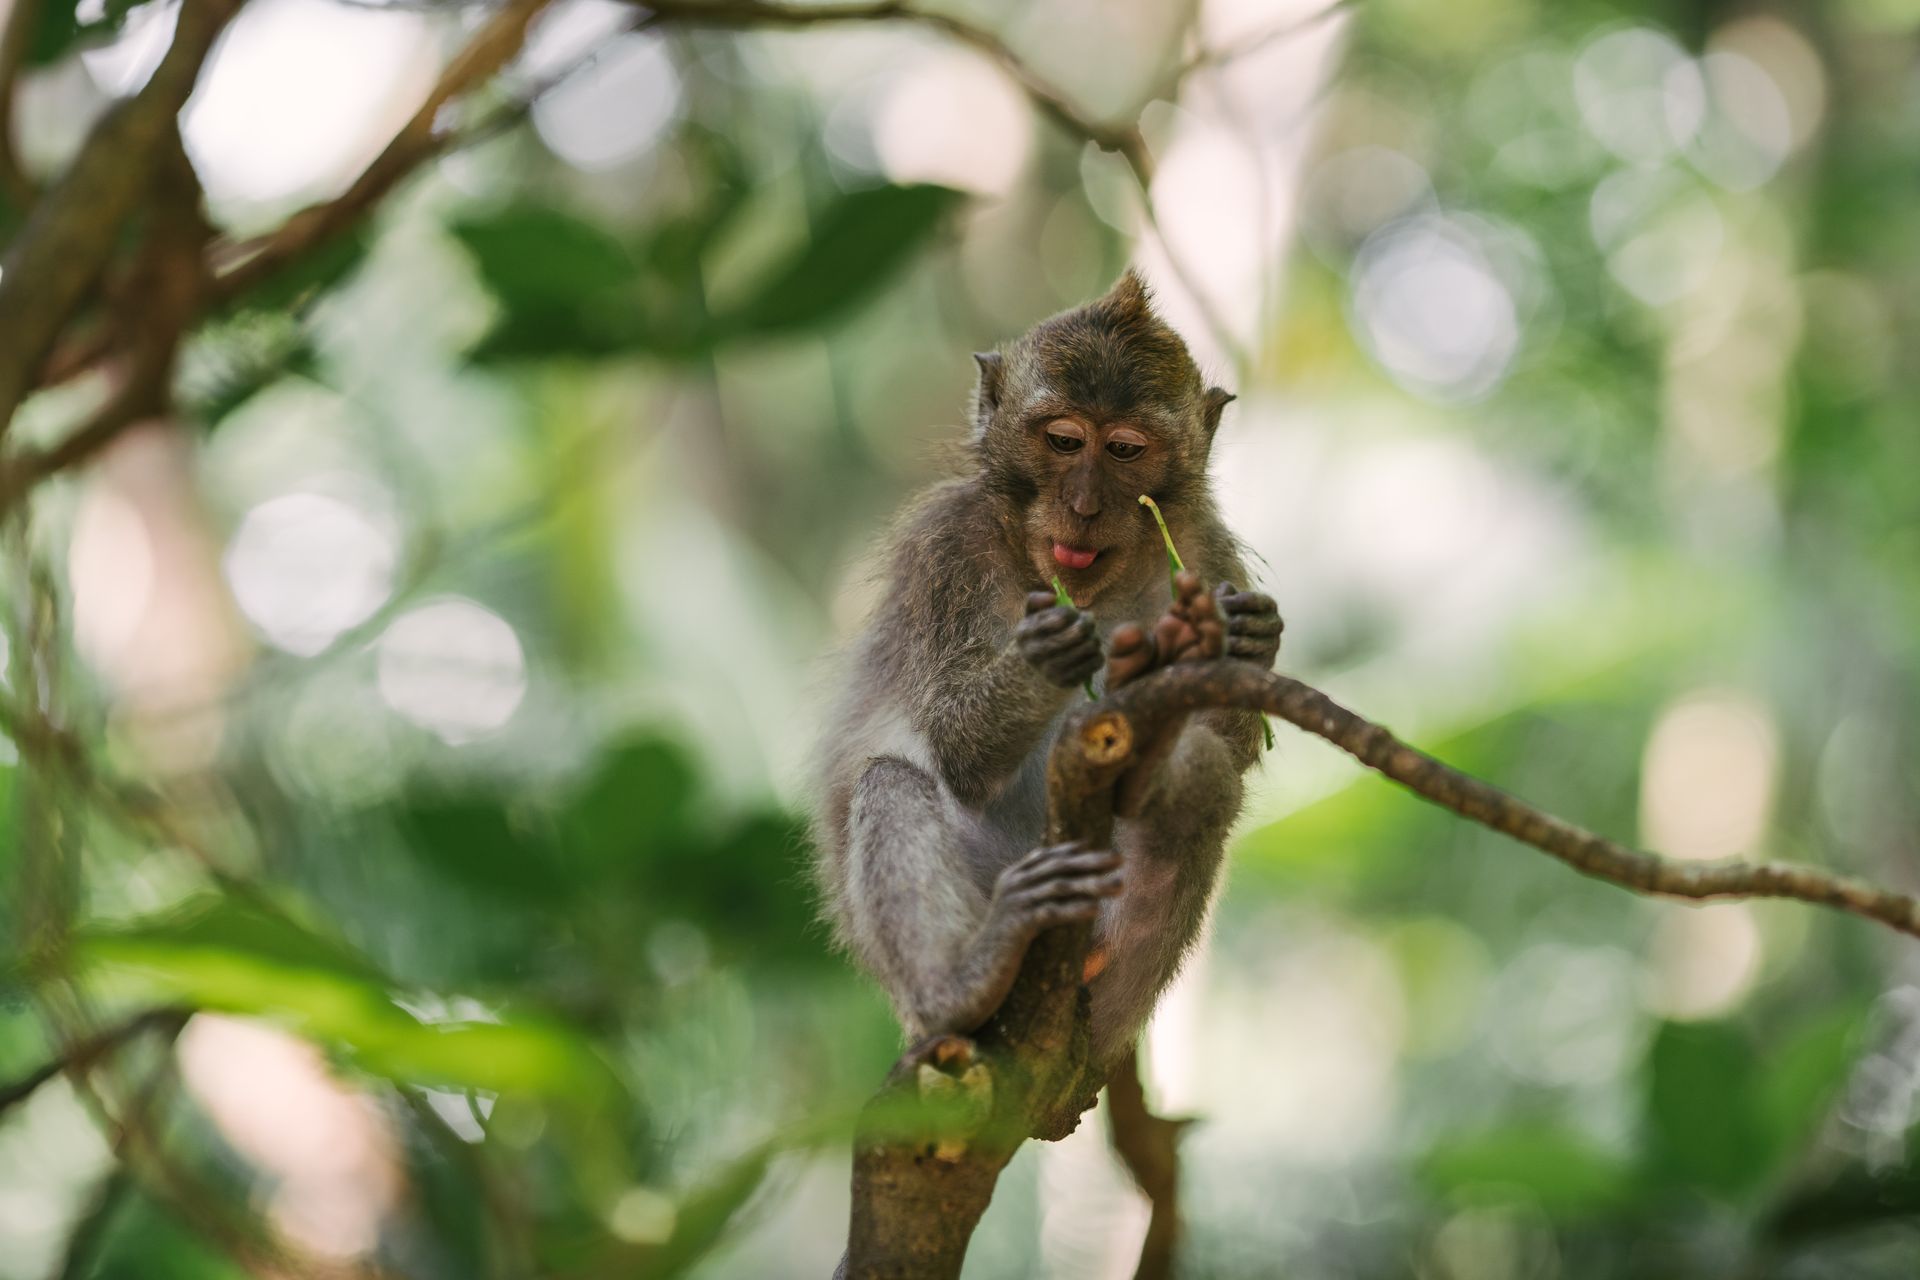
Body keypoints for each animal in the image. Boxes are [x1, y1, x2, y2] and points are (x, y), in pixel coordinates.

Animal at [810, 270, 1282, 1075]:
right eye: (1063, 441)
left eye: (1124, 449)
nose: (1084, 505)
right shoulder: (949, 550)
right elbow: (956, 748)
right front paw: (1047, 654)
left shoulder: (1206, 550)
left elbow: (1235, 746)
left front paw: (1250, 639)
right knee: (892, 782)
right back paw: (968, 984)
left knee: (1203, 774)